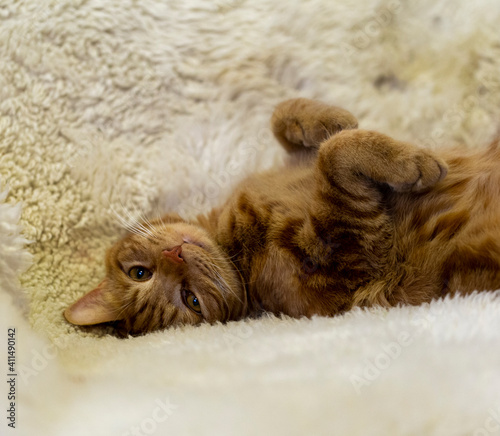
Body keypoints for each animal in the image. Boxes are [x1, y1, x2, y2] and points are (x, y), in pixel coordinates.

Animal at [63, 97, 500, 334]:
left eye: (139, 273)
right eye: (192, 301)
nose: (175, 255)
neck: (231, 237)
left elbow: (284, 117)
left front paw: (328, 120)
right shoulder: (354, 255)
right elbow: (334, 156)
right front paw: (411, 162)